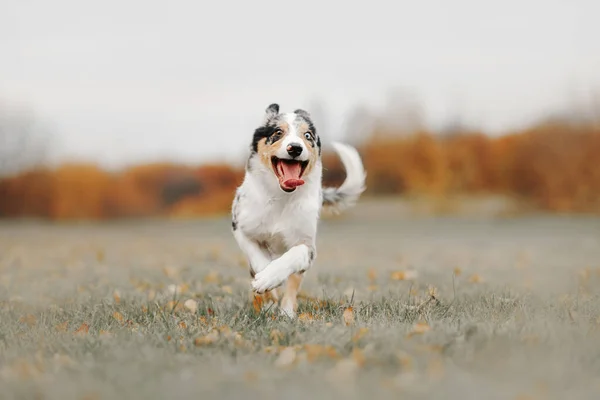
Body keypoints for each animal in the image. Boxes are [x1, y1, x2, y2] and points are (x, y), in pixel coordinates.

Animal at [232, 104, 366, 318]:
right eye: (278, 132)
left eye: (308, 135)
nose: (295, 148)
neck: (281, 198)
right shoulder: (241, 228)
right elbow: (257, 258)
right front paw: (265, 282)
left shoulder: (307, 245)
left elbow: (294, 256)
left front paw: (270, 278)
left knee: (293, 284)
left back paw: (286, 313)